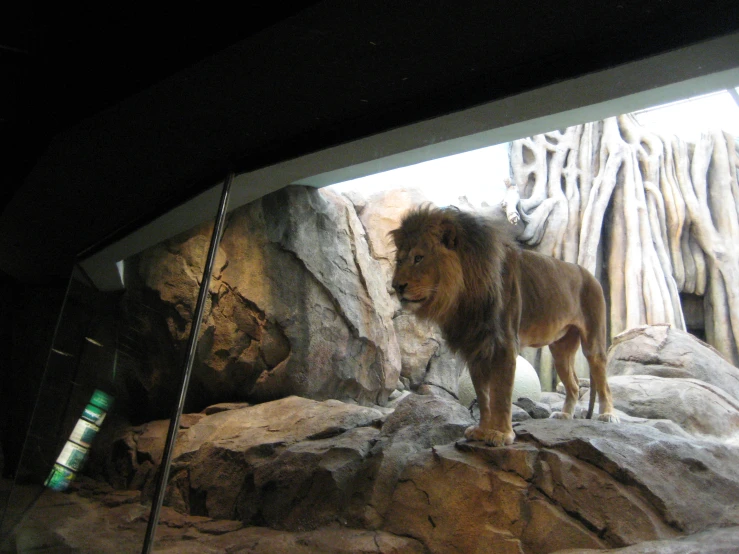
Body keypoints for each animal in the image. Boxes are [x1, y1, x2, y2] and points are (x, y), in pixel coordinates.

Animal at [390, 205, 620, 446]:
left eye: (418, 258)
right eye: (399, 260)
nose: (396, 286)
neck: (463, 294)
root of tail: (587, 272)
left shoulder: (504, 344)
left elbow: (501, 394)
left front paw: (501, 434)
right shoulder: (476, 346)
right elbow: (483, 396)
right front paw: (482, 430)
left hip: (593, 341)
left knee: (603, 380)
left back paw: (608, 414)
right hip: (560, 349)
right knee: (573, 384)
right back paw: (565, 415)